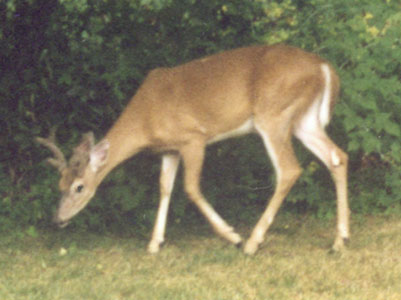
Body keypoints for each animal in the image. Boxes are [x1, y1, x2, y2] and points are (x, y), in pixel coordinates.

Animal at [37, 44, 348, 254]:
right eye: (58, 184)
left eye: (78, 187)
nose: (57, 219)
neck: (145, 116)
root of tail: (324, 67)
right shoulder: (169, 149)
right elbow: (164, 187)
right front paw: (154, 243)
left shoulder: (194, 139)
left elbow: (190, 188)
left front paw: (232, 236)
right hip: (304, 120)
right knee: (337, 157)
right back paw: (339, 240)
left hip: (273, 115)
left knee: (289, 169)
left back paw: (251, 242)